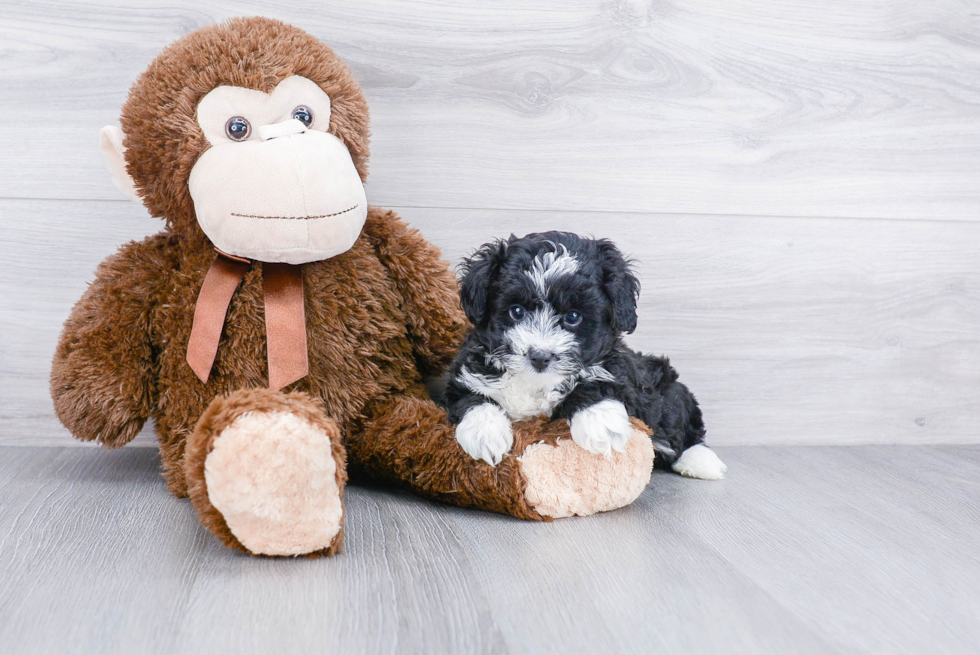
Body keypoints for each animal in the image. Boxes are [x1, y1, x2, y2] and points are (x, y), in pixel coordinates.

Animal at [444, 232, 728, 482]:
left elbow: (596, 383)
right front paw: (485, 434)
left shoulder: (620, 374)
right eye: (516, 311)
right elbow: (471, 398)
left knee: (684, 427)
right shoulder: (465, 375)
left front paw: (602, 424)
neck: (535, 383)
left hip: (669, 391)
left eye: (573, 317)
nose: (540, 356)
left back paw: (701, 462)